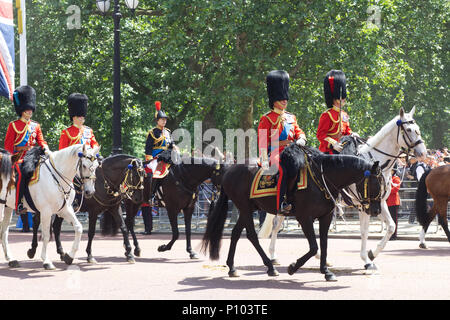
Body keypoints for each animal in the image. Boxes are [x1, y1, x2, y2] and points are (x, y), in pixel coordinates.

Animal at [202, 144, 382, 280]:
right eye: (375, 184)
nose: (376, 210)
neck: (321, 177)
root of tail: (230, 169)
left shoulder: (326, 217)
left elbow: (324, 244)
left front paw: (326, 271)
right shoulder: (304, 218)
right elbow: (314, 247)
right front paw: (293, 267)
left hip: (248, 209)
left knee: (236, 234)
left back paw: (233, 267)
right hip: (245, 208)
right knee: (252, 235)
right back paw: (270, 266)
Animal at [258, 107, 428, 270]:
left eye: (418, 128)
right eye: (409, 129)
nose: (423, 153)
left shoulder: (379, 203)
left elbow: (391, 226)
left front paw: (372, 253)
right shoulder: (363, 205)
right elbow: (364, 231)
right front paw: (366, 260)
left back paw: (320, 259)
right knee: (276, 225)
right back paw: (274, 256)